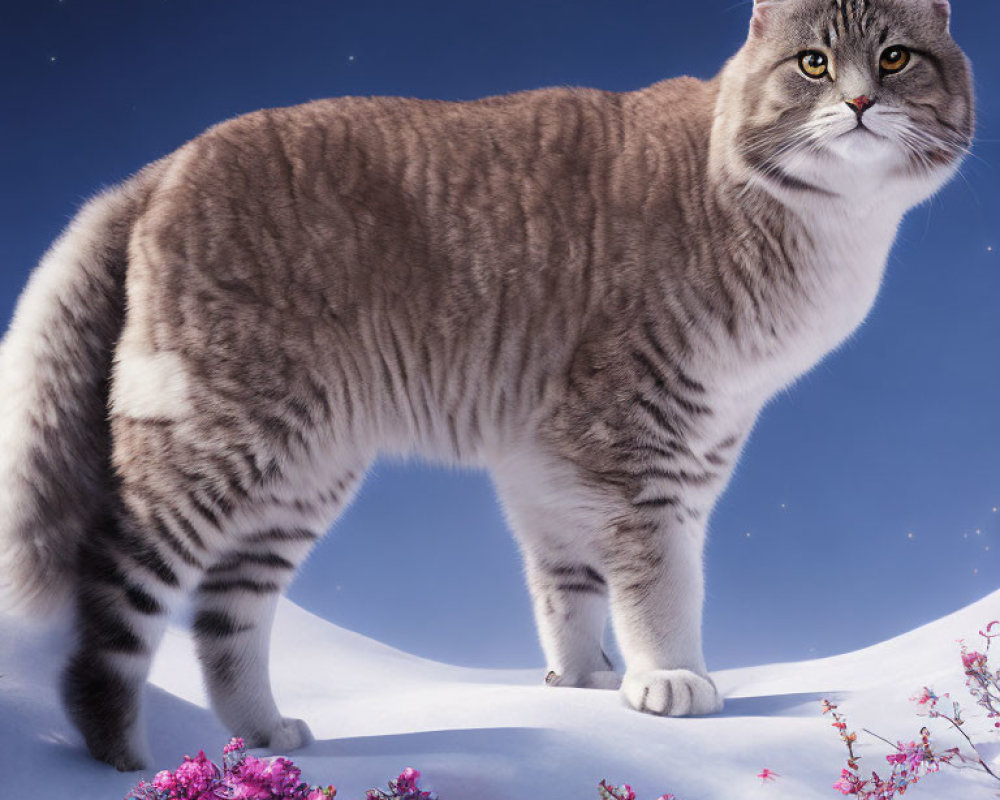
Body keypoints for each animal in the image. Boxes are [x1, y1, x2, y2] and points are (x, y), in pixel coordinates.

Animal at [0, 0, 968, 772]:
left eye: (895, 57)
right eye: (813, 62)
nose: (860, 101)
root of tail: (164, 164)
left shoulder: (597, 452)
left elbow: (568, 580)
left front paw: (582, 678)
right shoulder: (637, 434)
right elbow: (661, 577)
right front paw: (669, 677)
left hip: (298, 472)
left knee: (225, 617)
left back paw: (263, 735)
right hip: (215, 440)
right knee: (113, 588)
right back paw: (119, 753)